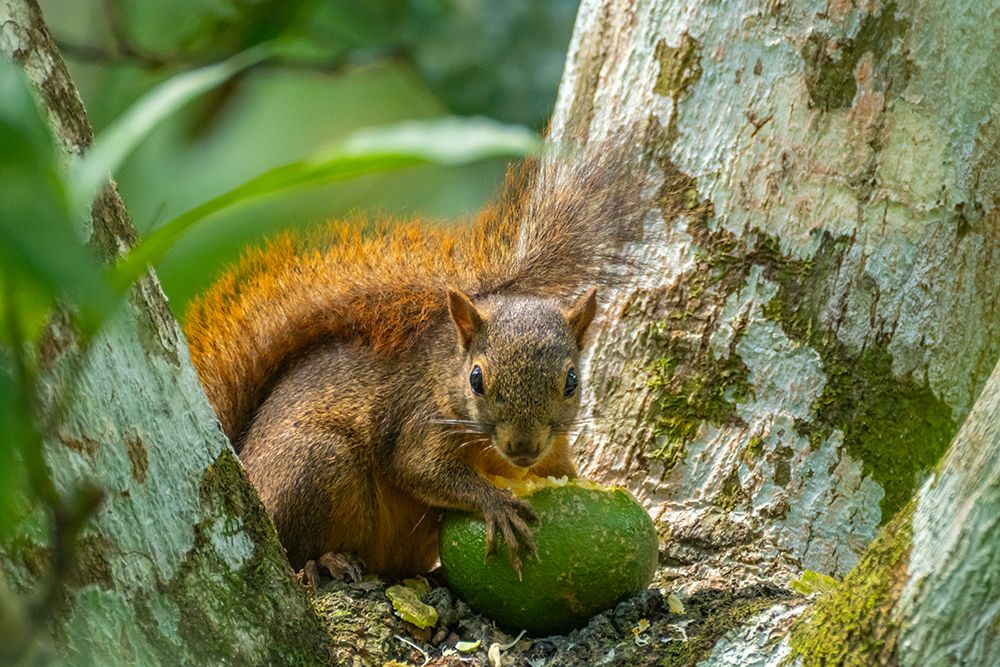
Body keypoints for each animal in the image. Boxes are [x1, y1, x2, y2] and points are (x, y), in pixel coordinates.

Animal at [184, 142, 644, 584]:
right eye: (476, 379)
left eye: (572, 382)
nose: (524, 447)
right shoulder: (417, 421)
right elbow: (419, 469)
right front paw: (496, 503)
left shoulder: (555, 454)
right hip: (315, 465)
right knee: (294, 547)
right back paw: (323, 562)